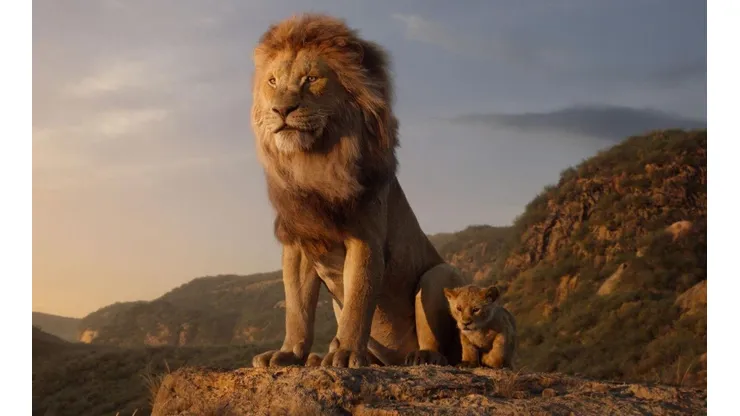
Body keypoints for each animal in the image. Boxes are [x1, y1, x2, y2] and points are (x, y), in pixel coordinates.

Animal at [249, 14, 468, 368]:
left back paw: (422, 356)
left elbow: (358, 301)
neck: (313, 163)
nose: (281, 110)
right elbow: (297, 309)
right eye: (272, 82)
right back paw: (320, 358)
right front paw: (289, 353)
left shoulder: (366, 239)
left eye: (311, 79)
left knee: (443, 348)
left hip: (438, 275)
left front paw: (347, 353)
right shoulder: (299, 242)